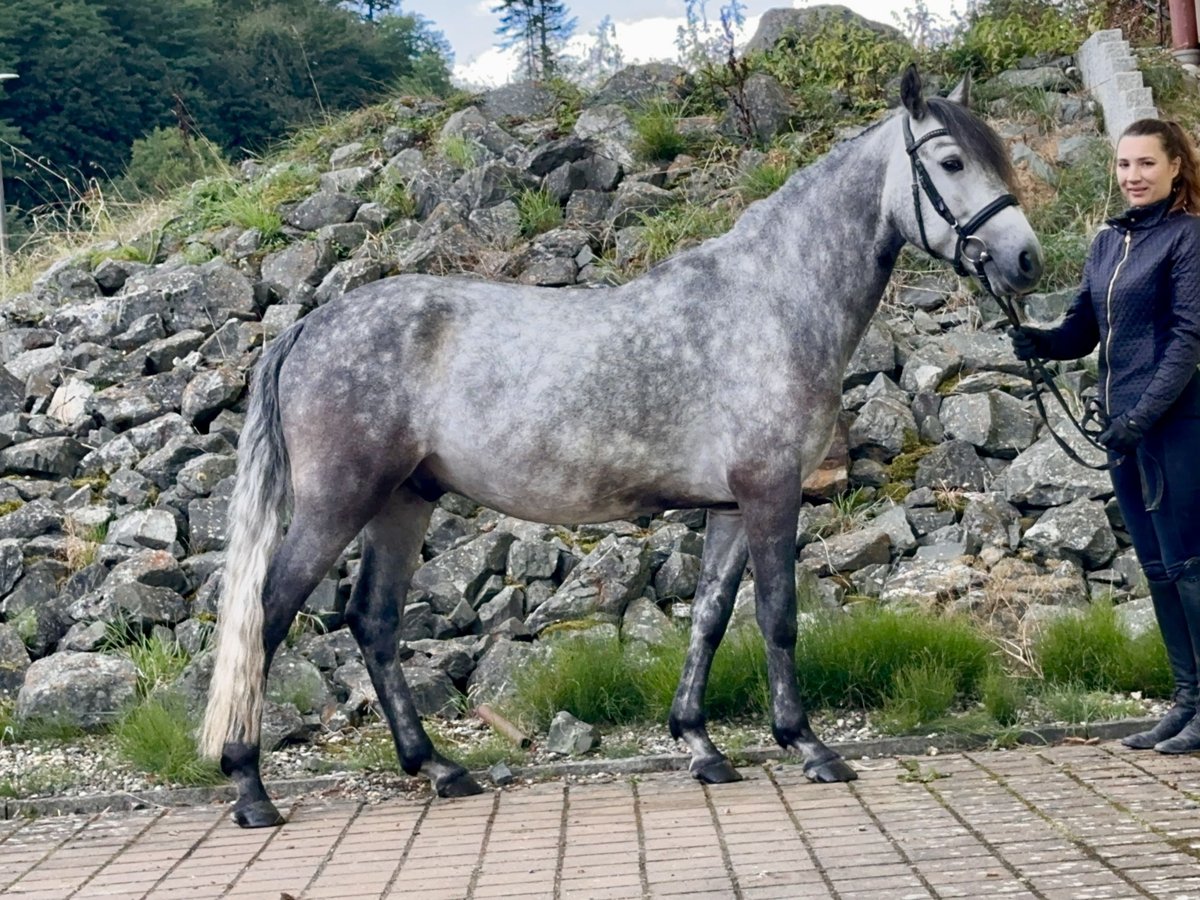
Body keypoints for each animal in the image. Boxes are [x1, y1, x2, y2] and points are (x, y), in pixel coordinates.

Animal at [199, 66, 1041, 830]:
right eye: (951, 161)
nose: (1026, 261)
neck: (772, 303)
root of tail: (308, 328)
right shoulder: (770, 492)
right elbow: (777, 616)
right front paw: (808, 746)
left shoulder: (730, 505)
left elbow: (710, 617)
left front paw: (701, 746)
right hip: (339, 502)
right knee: (267, 615)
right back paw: (250, 789)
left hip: (404, 500)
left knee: (373, 621)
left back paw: (438, 768)